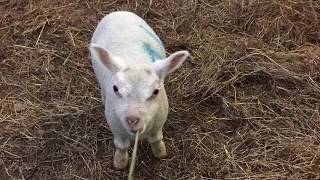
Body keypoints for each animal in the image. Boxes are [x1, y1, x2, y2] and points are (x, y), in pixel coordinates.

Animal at [89, 10, 190, 169]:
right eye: (115, 88)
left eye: (156, 91)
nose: (132, 120)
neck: (135, 61)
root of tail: (120, 12)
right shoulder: (116, 128)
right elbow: (121, 147)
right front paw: (120, 163)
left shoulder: (158, 123)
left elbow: (156, 140)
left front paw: (160, 153)